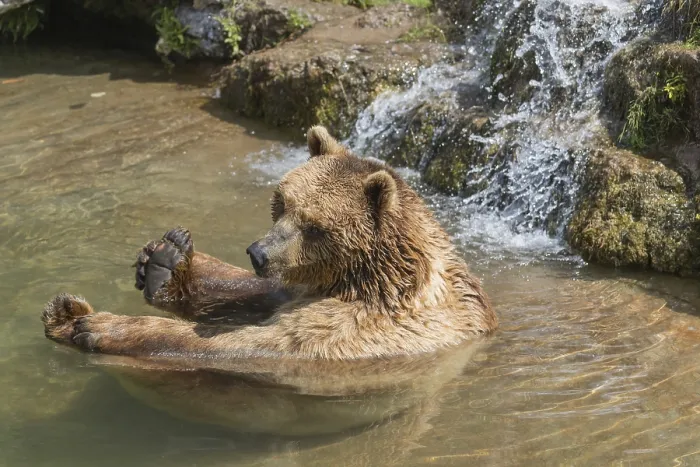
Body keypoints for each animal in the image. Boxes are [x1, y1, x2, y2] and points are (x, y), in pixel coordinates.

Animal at [42, 125, 497, 361]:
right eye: (282, 202)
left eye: (315, 226)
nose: (258, 252)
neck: (373, 278)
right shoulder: (303, 285)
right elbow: (255, 293)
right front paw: (165, 261)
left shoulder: (355, 326)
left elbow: (249, 342)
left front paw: (98, 325)